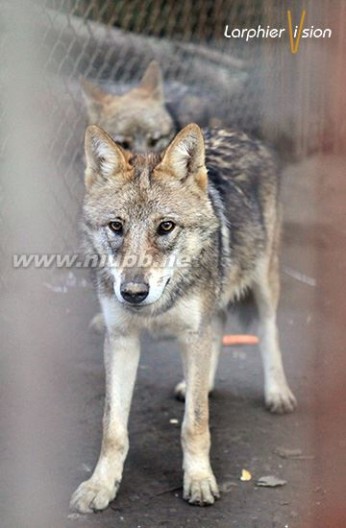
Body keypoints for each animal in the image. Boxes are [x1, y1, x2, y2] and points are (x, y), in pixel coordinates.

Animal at [70, 121, 298, 512]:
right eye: (116, 226)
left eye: (165, 227)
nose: (132, 293)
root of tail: (241, 133)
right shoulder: (121, 340)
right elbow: (112, 429)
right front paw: (100, 486)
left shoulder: (193, 334)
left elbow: (194, 424)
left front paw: (200, 481)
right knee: (218, 332)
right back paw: (201, 385)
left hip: (264, 284)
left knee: (269, 333)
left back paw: (277, 393)